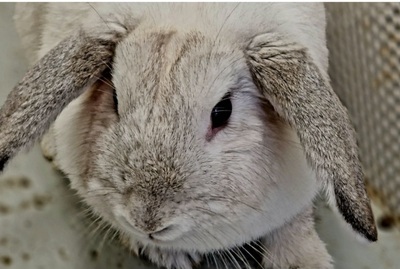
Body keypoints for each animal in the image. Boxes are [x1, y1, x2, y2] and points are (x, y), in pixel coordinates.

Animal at [0, 2, 376, 268]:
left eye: (222, 111)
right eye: (115, 99)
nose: (148, 220)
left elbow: (294, 223)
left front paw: (304, 261)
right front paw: (168, 255)